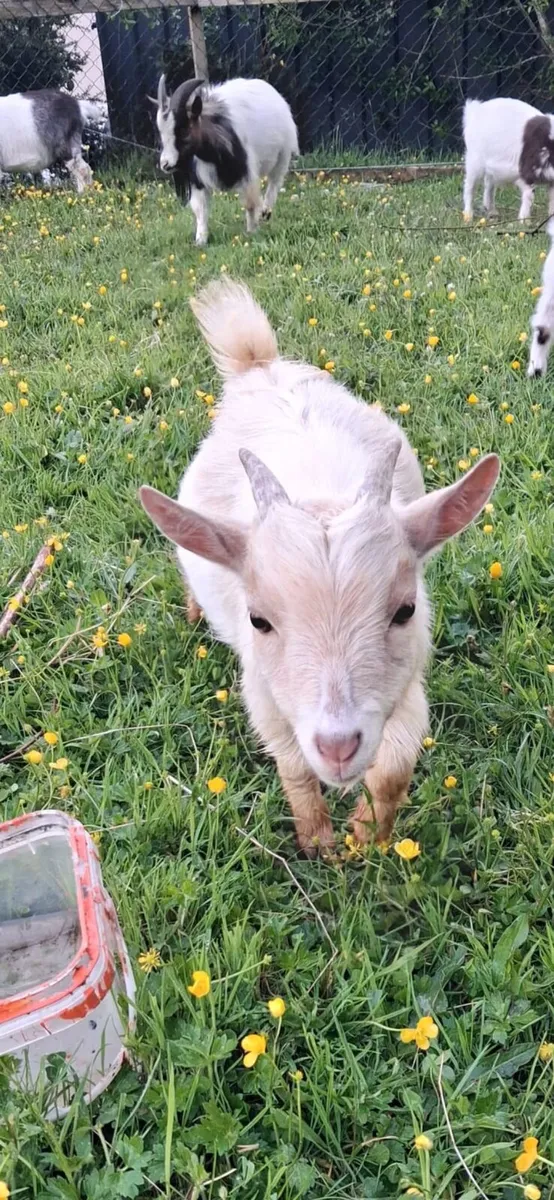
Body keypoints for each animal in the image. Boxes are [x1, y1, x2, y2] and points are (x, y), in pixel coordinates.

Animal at [139, 280, 499, 857]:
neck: (321, 492)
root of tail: (260, 367)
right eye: (259, 620)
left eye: (405, 610)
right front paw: (319, 842)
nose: (338, 746)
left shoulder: (408, 680)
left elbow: (394, 767)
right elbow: (294, 767)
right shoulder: (263, 693)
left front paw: (368, 837)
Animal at [152, 75, 298, 245]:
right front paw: (200, 241)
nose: (165, 164)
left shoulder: (246, 172)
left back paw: (266, 211)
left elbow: (250, 203)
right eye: (161, 131)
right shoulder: (197, 180)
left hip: (283, 155)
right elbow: (200, 209)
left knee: (274, 182)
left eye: (182, 130)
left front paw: (252, 232)